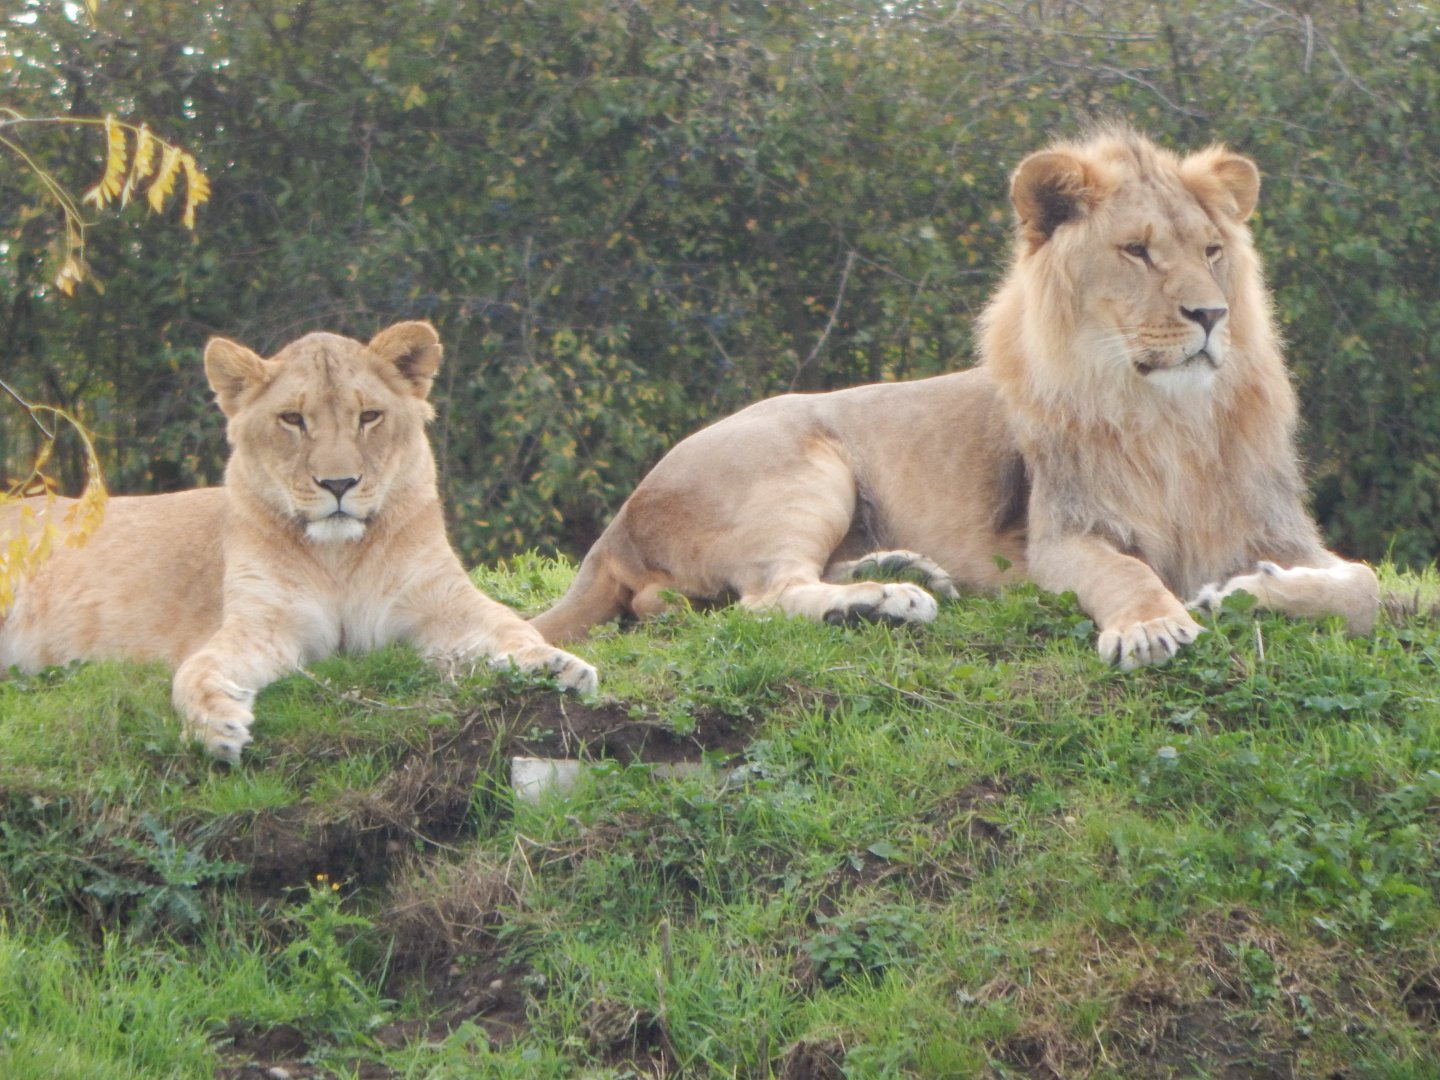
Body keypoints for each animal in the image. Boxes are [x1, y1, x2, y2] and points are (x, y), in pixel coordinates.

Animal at [0, 322, 597, 762]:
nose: (338, 484)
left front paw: (556, 666)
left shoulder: (441, 602)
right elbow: (197, 668)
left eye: (369, 415)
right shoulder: (267, 623)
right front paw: (215, 722)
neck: (339, 556)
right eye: (292, 419)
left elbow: (508, 626)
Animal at [530, 127, 1377, 667]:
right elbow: (1128, 575)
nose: (1210, 315)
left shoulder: (1278, 528)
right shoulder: (1062, 536)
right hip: (801, 463)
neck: (1170, 419)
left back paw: (904, 571)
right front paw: (1152, 628)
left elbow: (1363, 585)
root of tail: (619, 521)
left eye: (1212, 250)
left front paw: (1248, 593)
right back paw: (885, 601)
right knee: (763, 597)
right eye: (1136, 252)